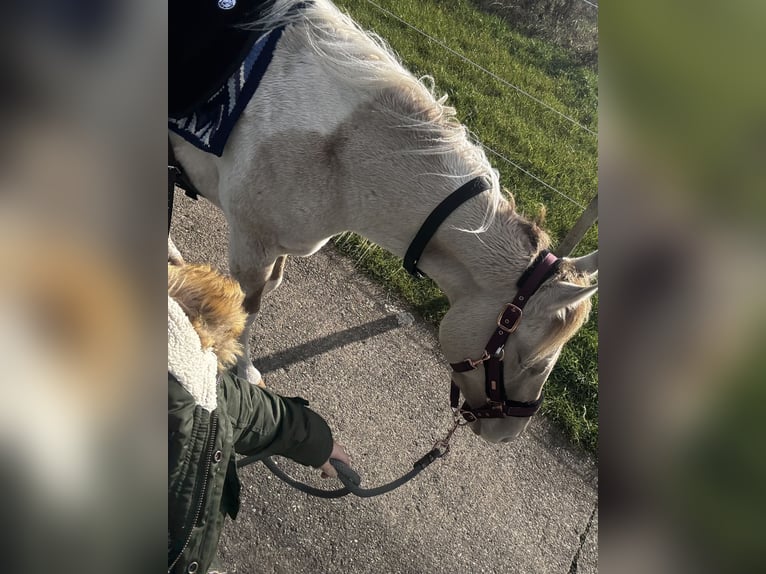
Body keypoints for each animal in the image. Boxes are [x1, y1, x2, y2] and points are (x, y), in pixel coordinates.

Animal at [169, 0, 597, 444]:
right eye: (532, 362)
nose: (507, 433)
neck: (342, 152)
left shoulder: (282, 240)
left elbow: (273, 285)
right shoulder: (252, 243)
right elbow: (246, 309)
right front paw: (243, 368)